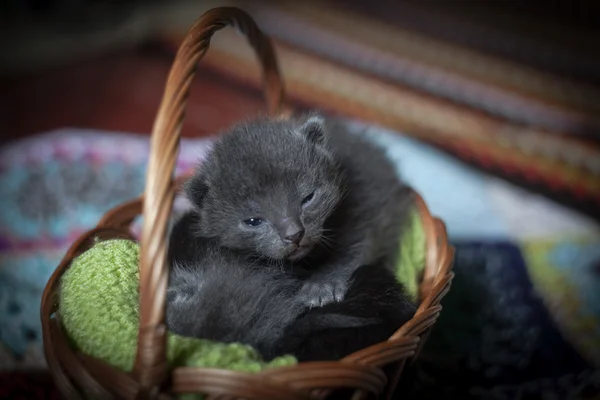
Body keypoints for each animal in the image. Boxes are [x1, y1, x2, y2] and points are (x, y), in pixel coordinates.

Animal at [188, 114, 412, 308]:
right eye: (253, 221)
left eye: (308, 198)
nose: (294, 234)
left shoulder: (363, 211)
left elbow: (352, 252)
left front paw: (322, 285)